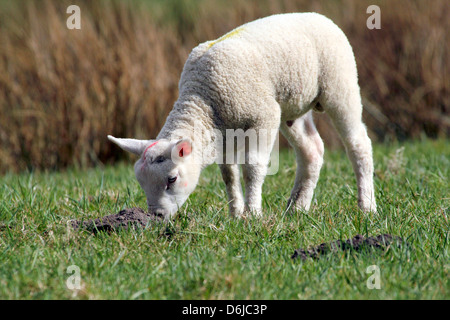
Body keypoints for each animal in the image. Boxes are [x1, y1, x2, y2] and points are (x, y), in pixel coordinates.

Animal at [108, 11, 376, 219]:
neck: (201, 98)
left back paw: (367, 206)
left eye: (172, 179)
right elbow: (229, 174)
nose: (157, 216)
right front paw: (235, 214)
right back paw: (297, 209)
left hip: (340, 83)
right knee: (312, 151)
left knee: (358, 144)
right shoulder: (224, 135)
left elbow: (252, 169)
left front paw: (253, 214)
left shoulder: (263, 118)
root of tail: (319, 16)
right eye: (141, 182)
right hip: (291, 106)